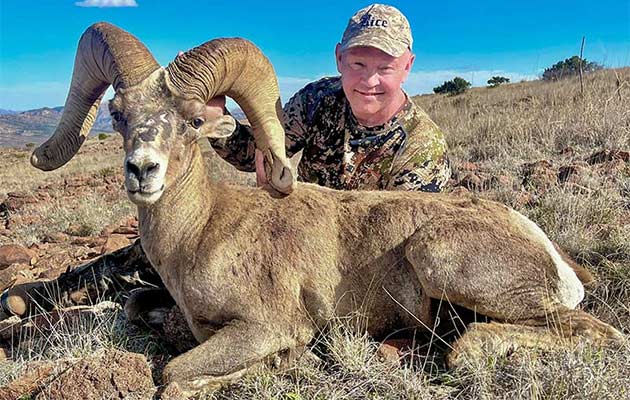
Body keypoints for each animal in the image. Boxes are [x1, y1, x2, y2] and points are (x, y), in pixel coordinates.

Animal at [6, 22, 628, 396]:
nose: (142, 171)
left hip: (442, 258)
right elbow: (137, 306)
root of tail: (557, 259)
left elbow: (176, 373)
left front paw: (286, 362)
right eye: (117, 114)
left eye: (193, 120)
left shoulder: (261, 326)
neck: (202, 234)